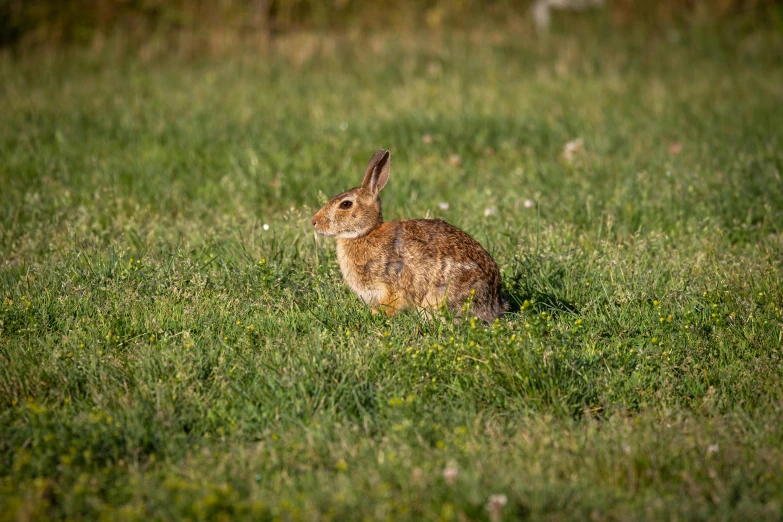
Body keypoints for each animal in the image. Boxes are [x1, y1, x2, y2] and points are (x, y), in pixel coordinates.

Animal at [312, 147, 508, 320]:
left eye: (345, 204)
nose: (314, 222)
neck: (366, 233)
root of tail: (493, 304)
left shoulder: (391, 285)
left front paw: (377, 315)